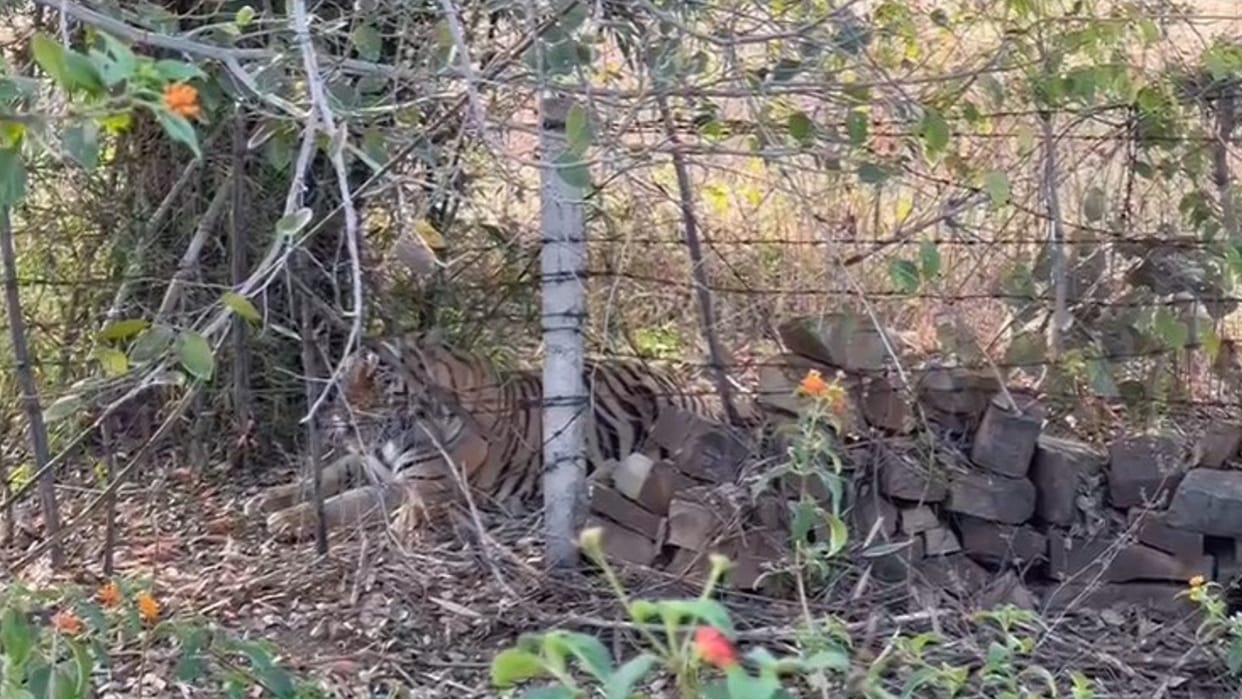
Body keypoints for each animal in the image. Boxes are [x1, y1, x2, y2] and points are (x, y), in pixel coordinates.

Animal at [245, 332, 754, 542]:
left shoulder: (421, 489)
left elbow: (349, 504)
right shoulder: (373, 463)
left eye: (379, 379)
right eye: (346, 372)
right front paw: (270, 499)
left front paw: (286, 520)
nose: (336, 414)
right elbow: (330, 476)